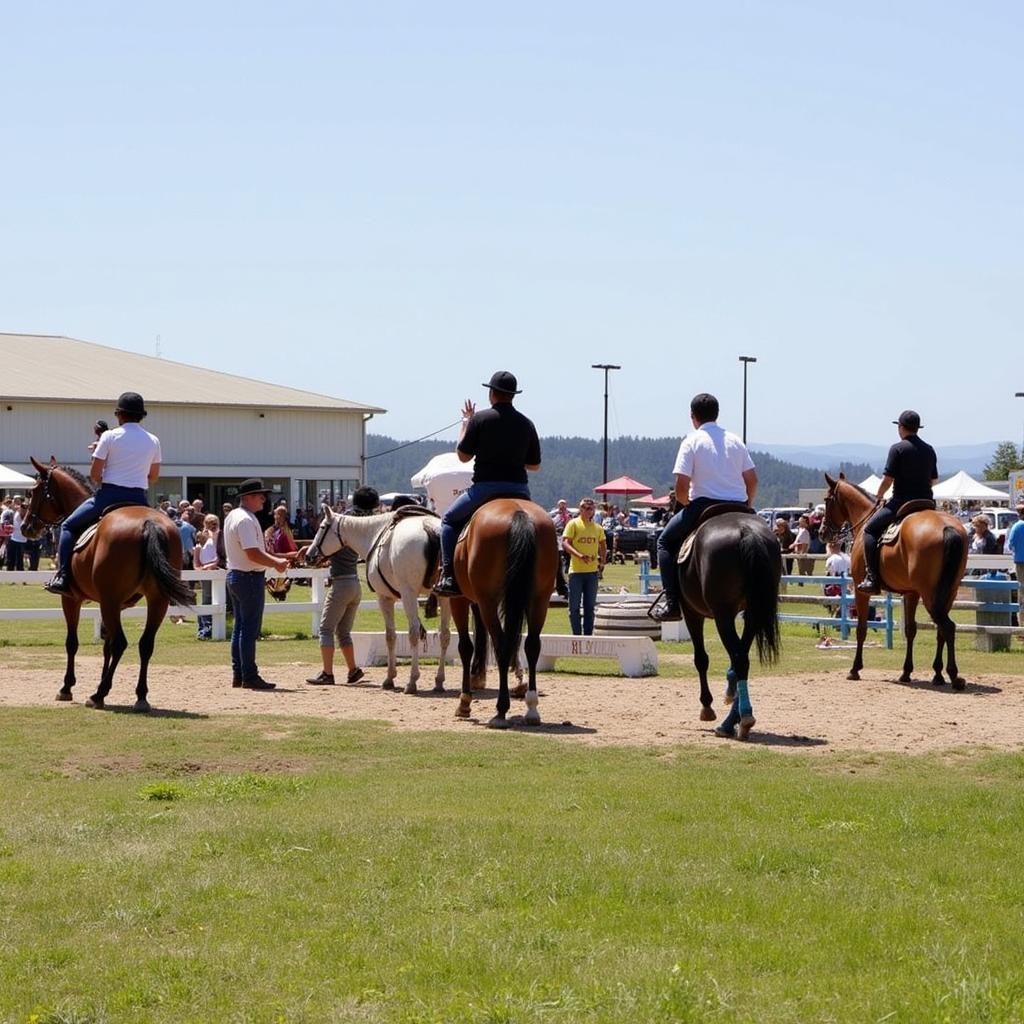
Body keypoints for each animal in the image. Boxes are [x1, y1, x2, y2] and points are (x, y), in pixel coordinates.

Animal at [18, 458, 192, 712]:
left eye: (33, 492)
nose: (25, 527)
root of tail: (149, 523)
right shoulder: (115, 605)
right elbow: (106, 646)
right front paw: (102, 681)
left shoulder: (72, 599)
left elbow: (72, 643)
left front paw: (67, 687)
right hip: (156, 600)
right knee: (145, 644)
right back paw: (140, 696)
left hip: (111, 600)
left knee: (121, 643)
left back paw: (98, 695)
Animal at [301, 505, 450, 696]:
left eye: (321, 527)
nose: (308, 555)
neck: (375, 533)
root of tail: (430, 528)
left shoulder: (385, 598)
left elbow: (390, 636)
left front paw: (389, 678)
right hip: (445, 597)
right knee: (444, 635)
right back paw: (439, 681)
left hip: (409, 594)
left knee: (414, 634)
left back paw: (412, 681)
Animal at [450, 497, 557, 729]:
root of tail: (518, 513)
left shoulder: (459, 599)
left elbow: (465, 647)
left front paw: (464, 702)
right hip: (540, 598)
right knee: (532, 645)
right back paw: (531, 709)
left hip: (488, 601)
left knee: (502, 645)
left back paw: (500, 710)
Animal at [667, 509, 778, 737]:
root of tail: (746, 530)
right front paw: (729, 693)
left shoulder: (692, 613)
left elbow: (701, 659)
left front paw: (707, 706)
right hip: (752, 612)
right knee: (741, 659)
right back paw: (734, 720)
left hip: (722, 615)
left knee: (739, 658)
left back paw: (740, 719)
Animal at [815, 473, 966, 688]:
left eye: (827, 500)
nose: (822, 532)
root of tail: (947, 527)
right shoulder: (911, 593)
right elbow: (910, 630)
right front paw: (906, 672)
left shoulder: (860, 592)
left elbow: (861, 629)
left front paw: (855, 669)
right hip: (948, 592)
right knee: (942, 630)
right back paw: (938, 674)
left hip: (930, 594)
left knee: (947, 626)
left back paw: (953, 675)